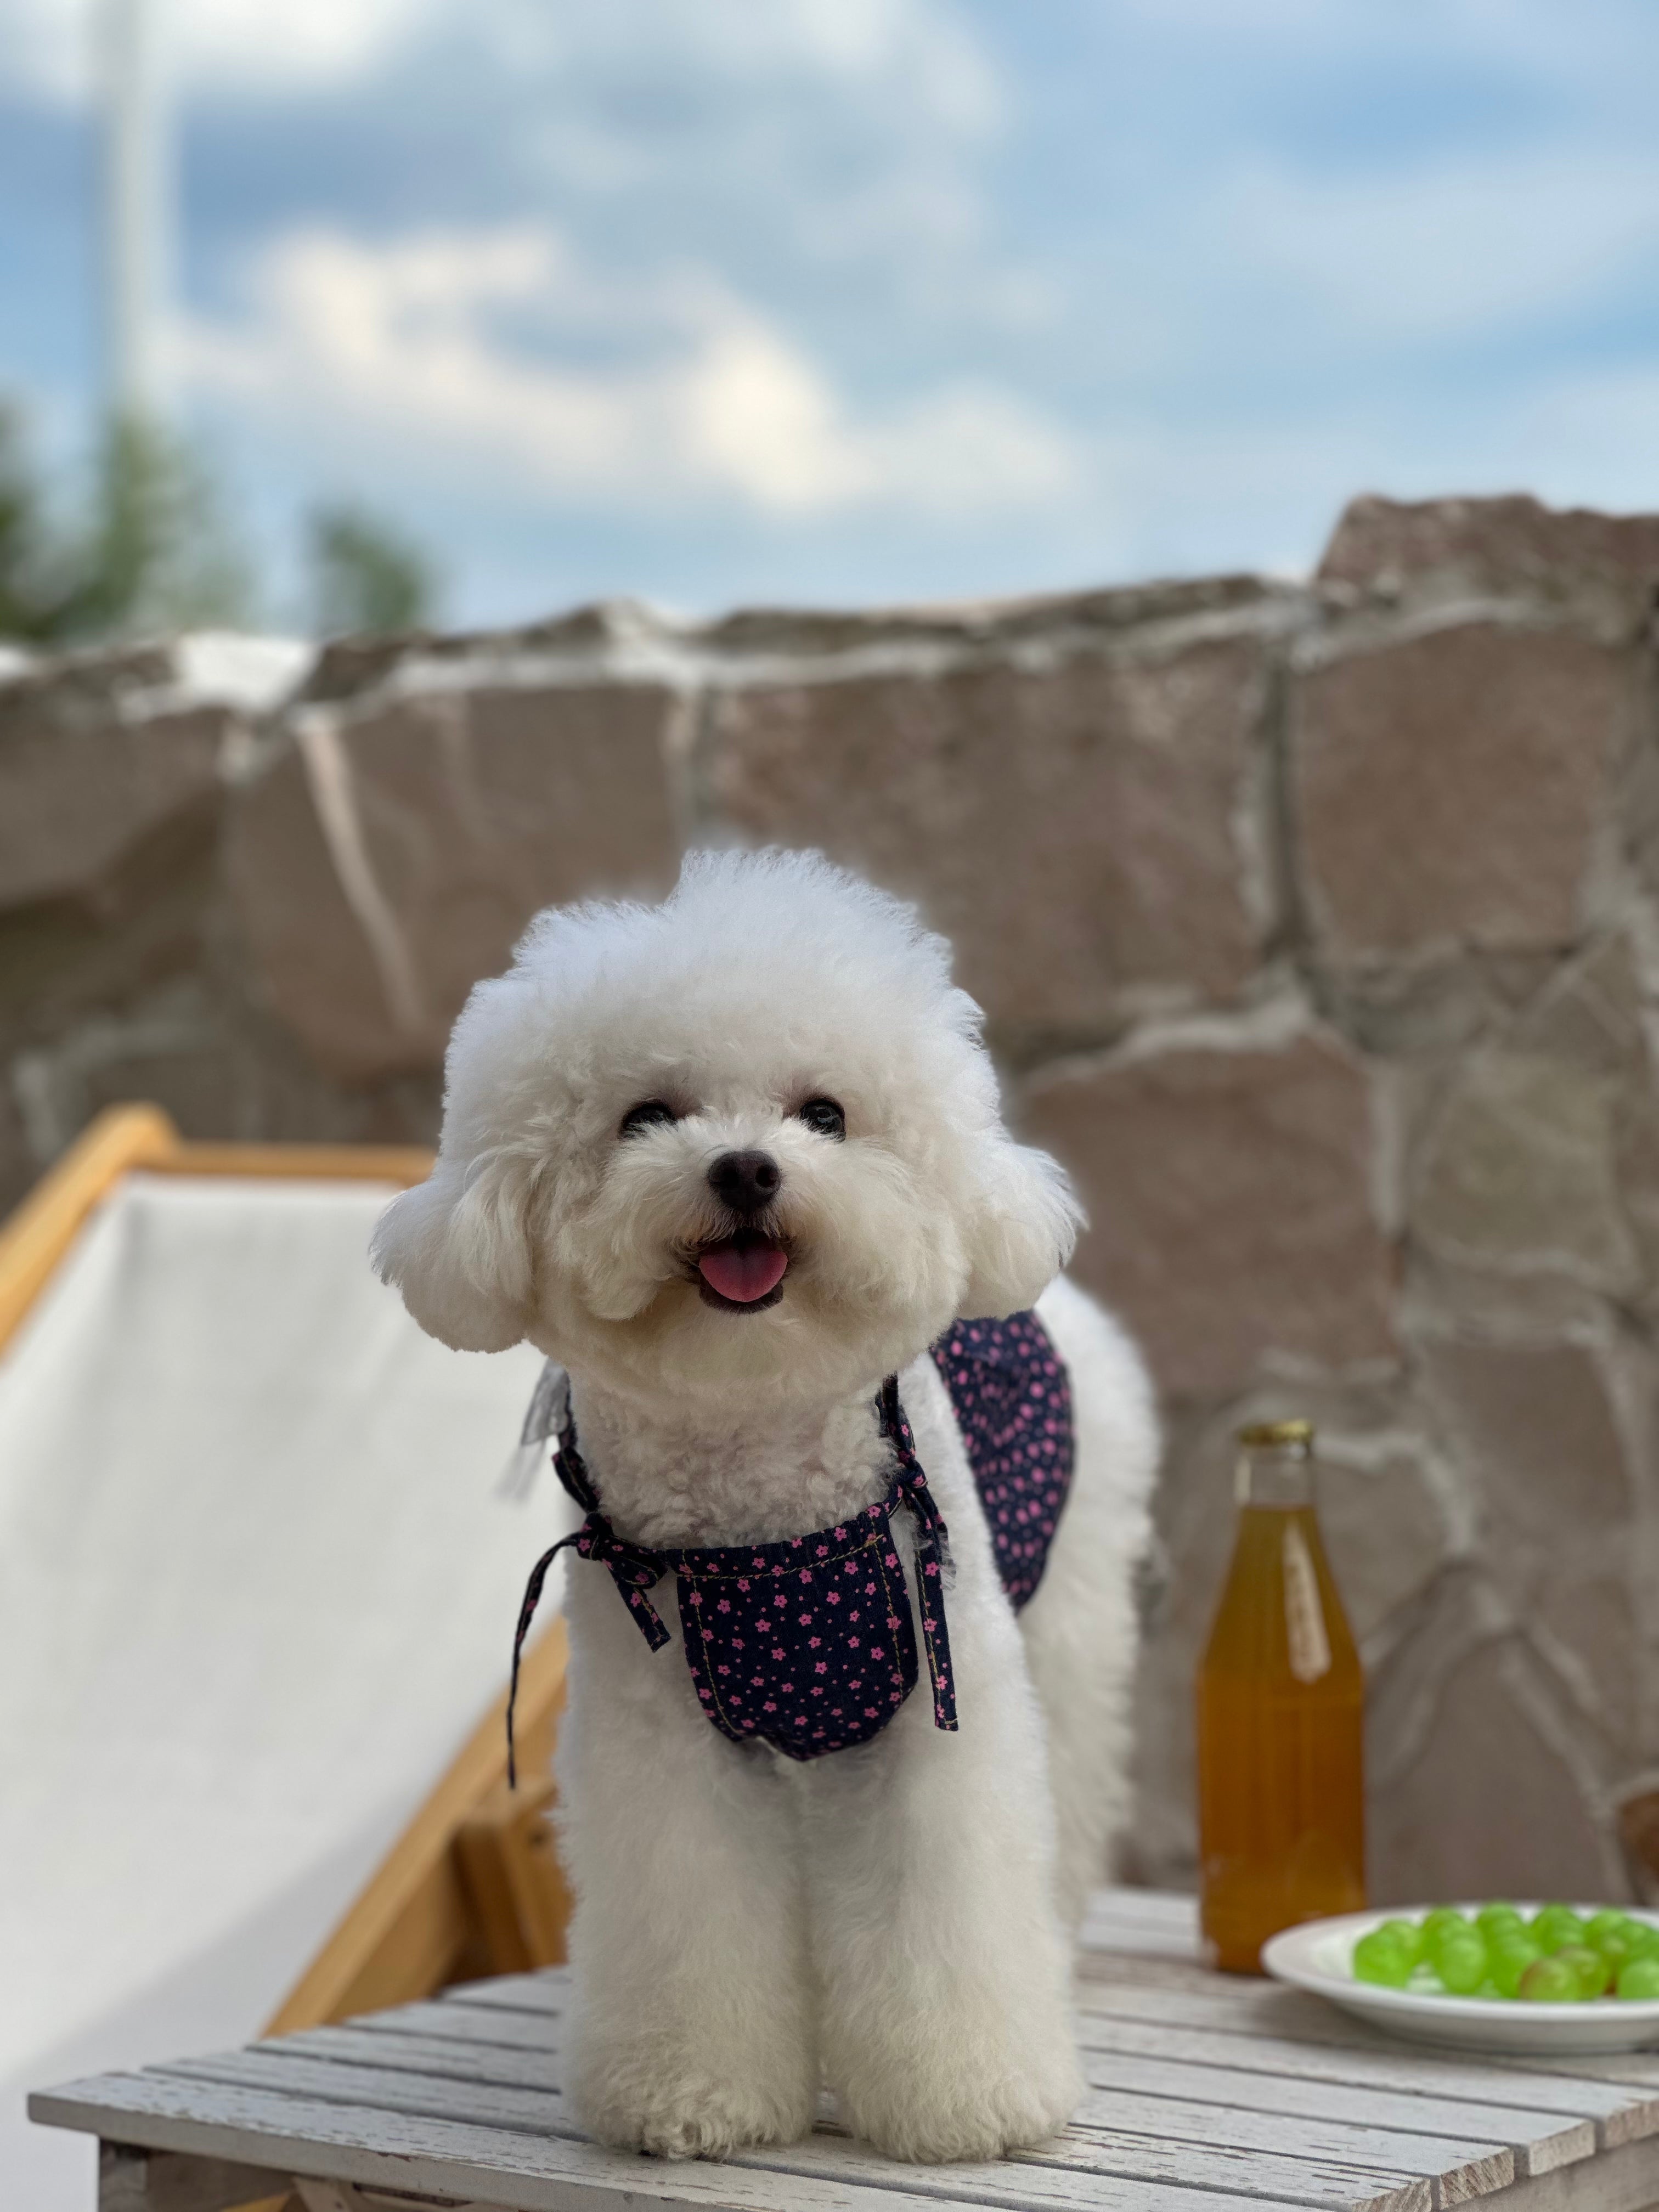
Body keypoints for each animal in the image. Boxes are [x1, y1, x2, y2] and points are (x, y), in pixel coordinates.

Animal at [374, 845, 1159, 2159]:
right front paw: (690, 2099)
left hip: (1066, 1605)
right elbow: (693, 1913)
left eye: (823, 1113)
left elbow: (948, 1901)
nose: (745, 1166)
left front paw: (971, 2098)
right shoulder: (660, 1739)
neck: (760, 1507)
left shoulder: (938, 1715)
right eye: (647, 1114)